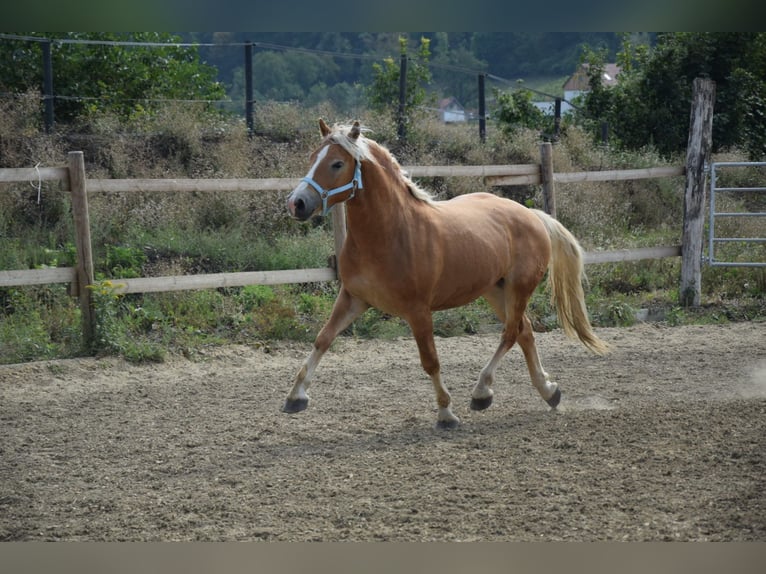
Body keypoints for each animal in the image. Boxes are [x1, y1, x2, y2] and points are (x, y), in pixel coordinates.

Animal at [284, 120, 608, 428]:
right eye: (312, 157)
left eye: (337, 163)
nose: (296, 203)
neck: (389, 233)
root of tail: (532, 215)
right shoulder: (353, 298)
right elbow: (323, 339)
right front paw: (295, 398)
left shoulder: (418, 310)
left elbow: (430, 361)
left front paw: (446, 413)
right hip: (495, 290)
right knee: (525, 332)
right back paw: (549, 392)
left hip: (519, 288)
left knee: (511, 333)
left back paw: (482, 393)